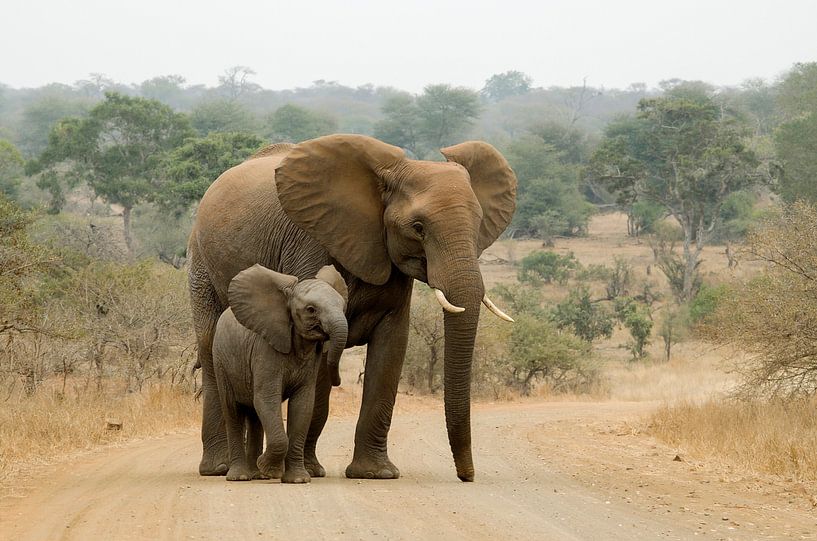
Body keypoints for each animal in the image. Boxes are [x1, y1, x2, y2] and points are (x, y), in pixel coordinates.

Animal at [212, 264, 348, 483]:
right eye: (311, 310)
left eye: (343, 307)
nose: (337, 381)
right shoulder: (265, 349)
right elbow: (267, 399)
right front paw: (269, 468)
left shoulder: (311, 360)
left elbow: (303, 405)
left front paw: (297, 480)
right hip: (221, 361)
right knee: (232, 410)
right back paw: (241, 476)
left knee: (254, 414)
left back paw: (257, 475)